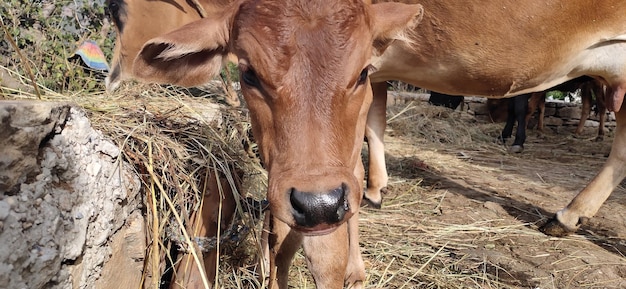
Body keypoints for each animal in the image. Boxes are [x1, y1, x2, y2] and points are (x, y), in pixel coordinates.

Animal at [132, 1, 424, 286]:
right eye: (249, 75)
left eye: (363, 73)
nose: (318, 204)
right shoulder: (283, 179)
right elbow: (279, 242)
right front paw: (267, 265)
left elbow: (327, 255)